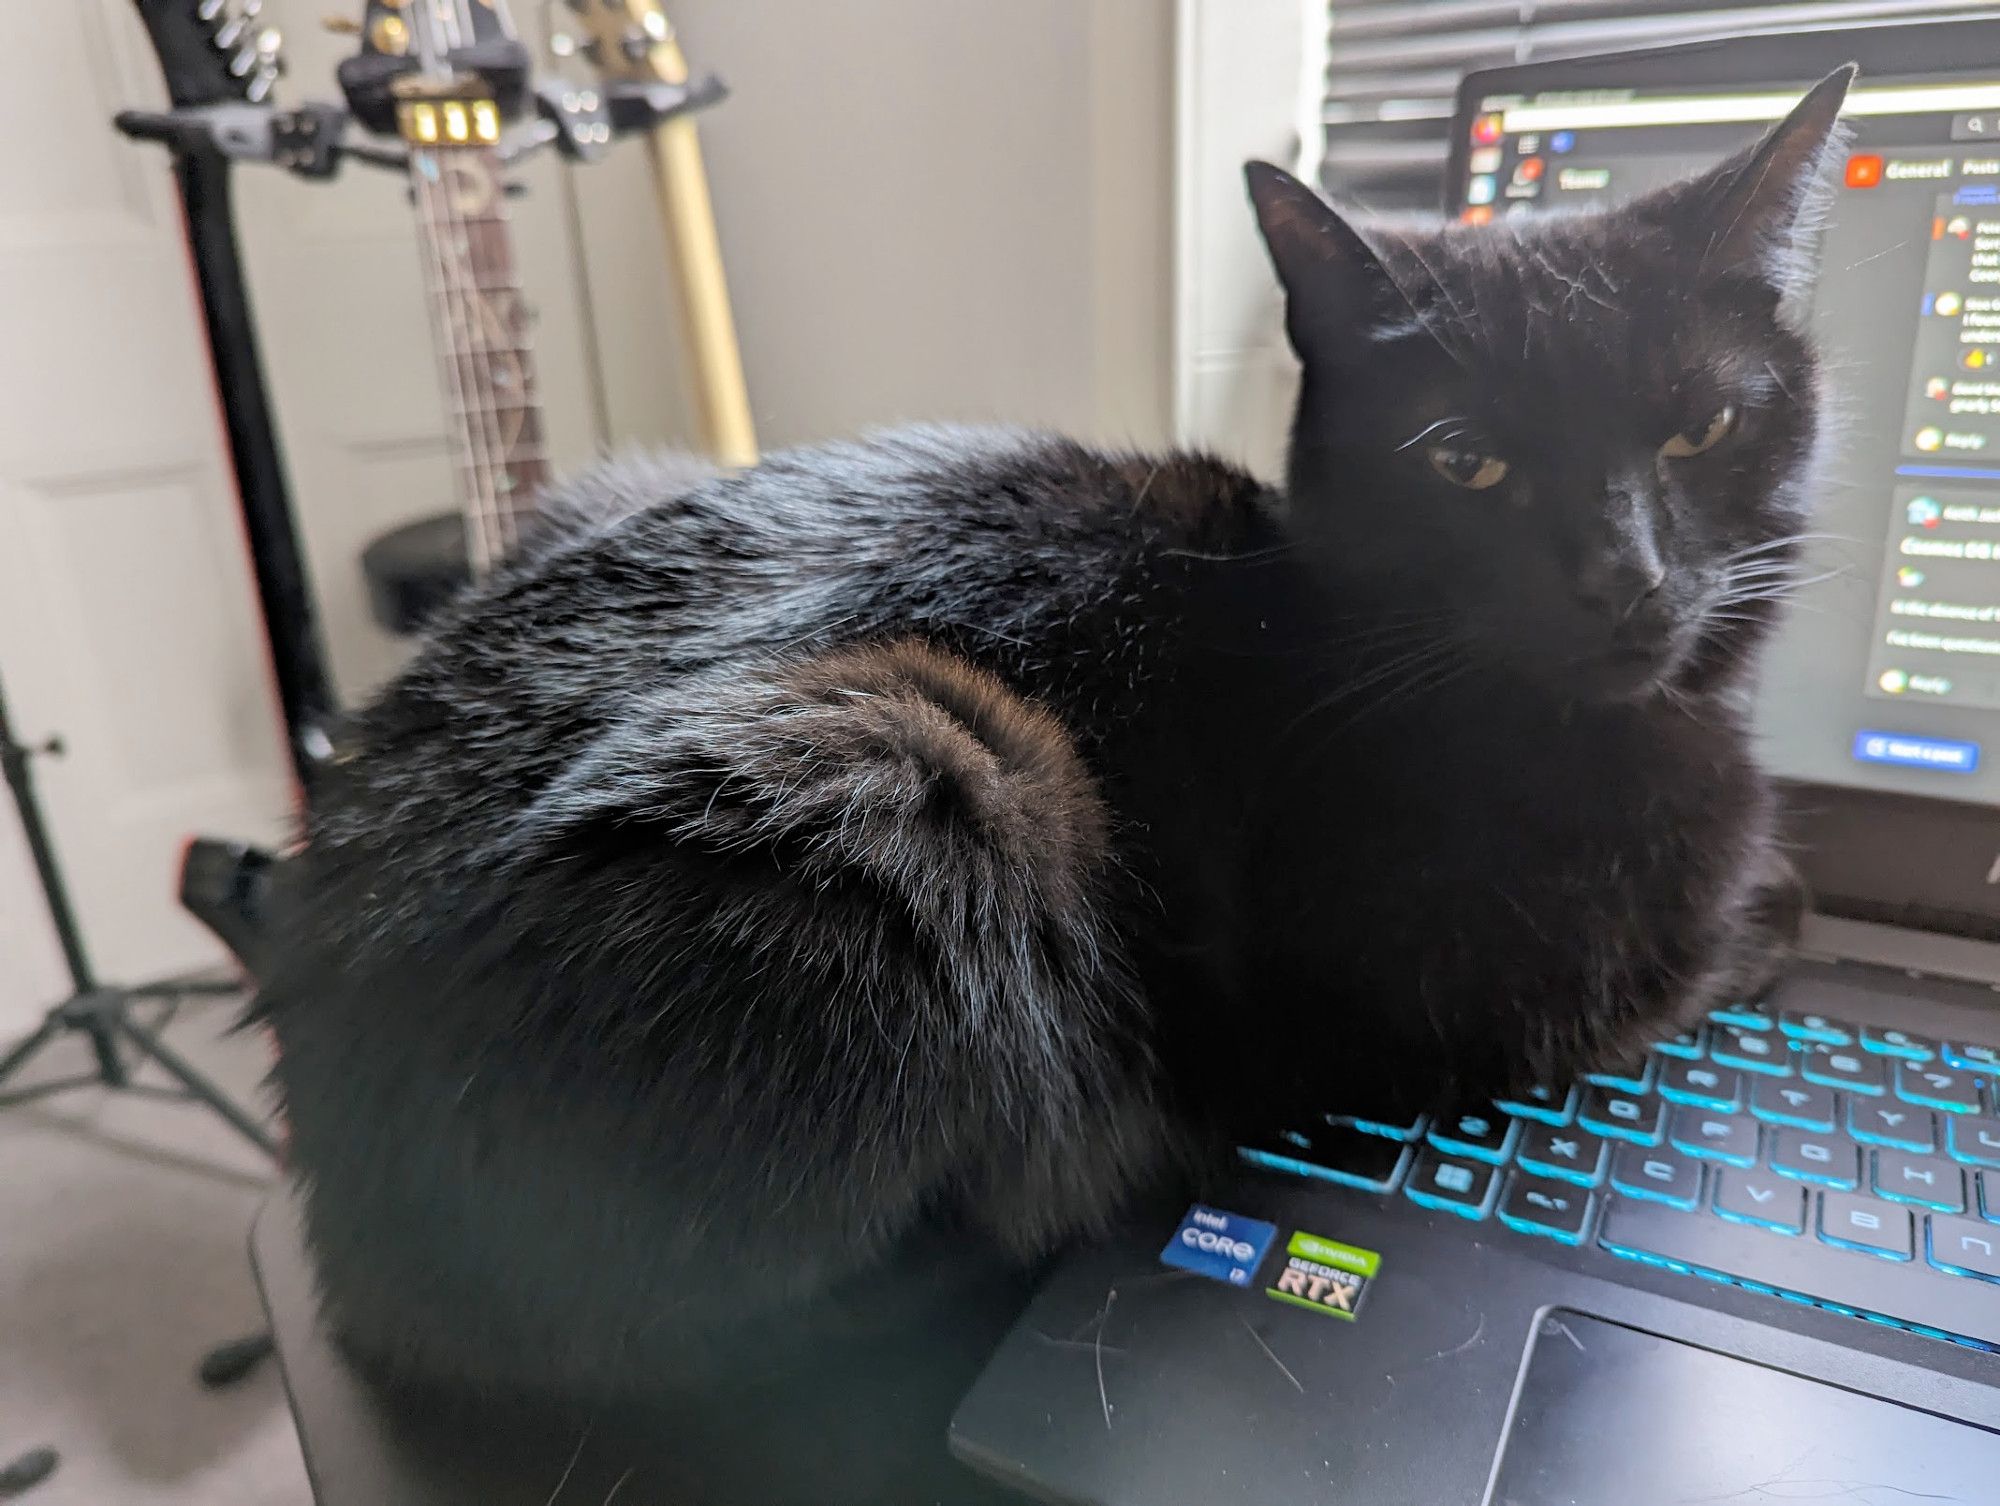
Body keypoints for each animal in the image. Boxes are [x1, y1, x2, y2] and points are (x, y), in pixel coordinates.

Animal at [258, 70, 1848, 1504]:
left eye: (1699, 430)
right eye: (1469, 461)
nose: (1623, 579)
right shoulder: (1494, 998)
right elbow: (1724, 936)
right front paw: (1781, 899)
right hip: (914, 762)